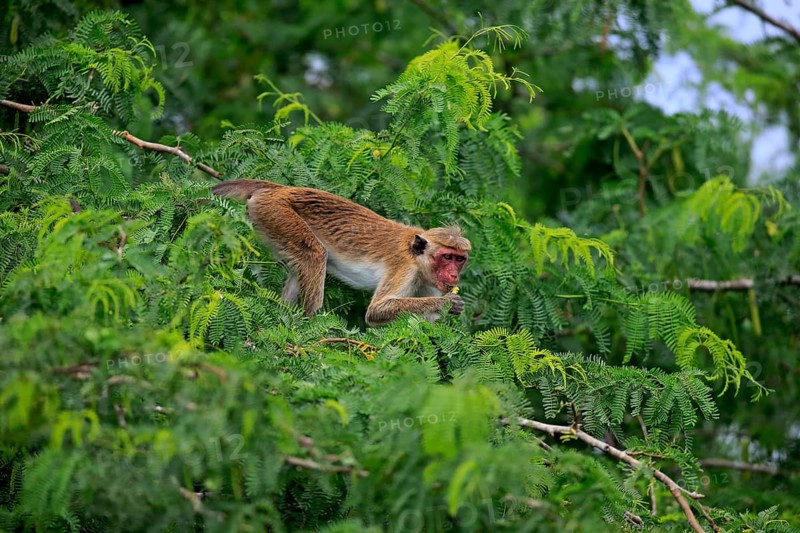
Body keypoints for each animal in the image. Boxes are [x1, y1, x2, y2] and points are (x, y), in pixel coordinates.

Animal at [211, 179, 470, 326]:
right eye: (447, 257)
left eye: (460, 259)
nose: (454, 275)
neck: (418, 259)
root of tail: (279, 189)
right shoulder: (404, 267)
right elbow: (376, 312)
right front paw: (448, 303)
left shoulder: (427, 281)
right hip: (277, 213)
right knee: (315, 255)